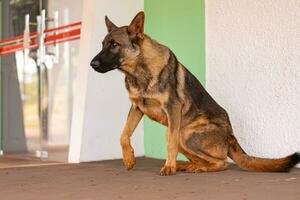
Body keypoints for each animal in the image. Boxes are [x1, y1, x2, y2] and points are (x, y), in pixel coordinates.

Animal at [91, 11, 300, 176]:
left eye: (114, 44)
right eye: (102, 44)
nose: (92, 64)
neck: (139, 71)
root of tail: (231, 136)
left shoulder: (172, 109)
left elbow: (169, 144)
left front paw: (168, 167)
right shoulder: (136, 108)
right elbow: (123, 135)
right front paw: (128, 158)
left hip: (184, 133)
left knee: (221, 163)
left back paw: (189, 167)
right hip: (179, 132)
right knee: (203, 159)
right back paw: (186, 165)